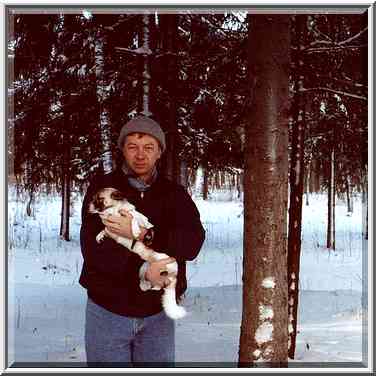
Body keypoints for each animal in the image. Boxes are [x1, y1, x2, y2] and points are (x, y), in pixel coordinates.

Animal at [88, 187, 188, 318]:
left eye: (99, 199)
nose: (88, 207)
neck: (114, 212)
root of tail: (174, 274)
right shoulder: (110, 229)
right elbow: (104, 229)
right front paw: (100, 236)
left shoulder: (140, 219)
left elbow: (134, 218)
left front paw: (135, 231)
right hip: (144, 268)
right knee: (150, 283)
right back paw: (145, 286)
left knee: (161, 284)